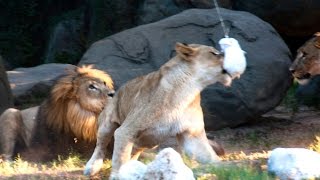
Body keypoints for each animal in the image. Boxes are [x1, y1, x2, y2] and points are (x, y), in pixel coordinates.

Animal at [84, 42, 241, 179]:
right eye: (214, 53)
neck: (189, 89)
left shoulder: (192, 135)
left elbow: (210, 157)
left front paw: (230, 169)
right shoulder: (126, 130)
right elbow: (120, 157)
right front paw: (117, 176)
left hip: (148, 141)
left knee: (134, 150)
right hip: (108, 124)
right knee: (101, 145)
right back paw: (91, 167)